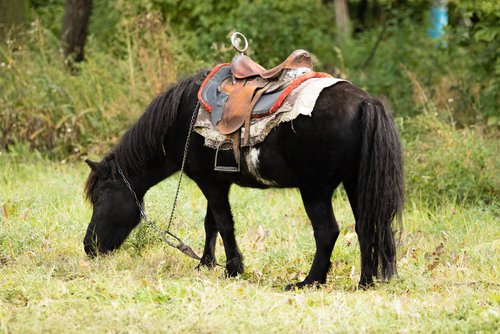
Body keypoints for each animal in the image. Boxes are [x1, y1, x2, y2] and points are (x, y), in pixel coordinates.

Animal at [82, 71, 402, 290]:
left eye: (99, 197)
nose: (88, 246)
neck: (182, 120)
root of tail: (365, 102)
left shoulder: (209, 183)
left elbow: (223, 224)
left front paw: (232, 269)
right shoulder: (215, 183)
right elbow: (211, 224)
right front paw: (206, 264)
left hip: (315, 191)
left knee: (327, 232)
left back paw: (309, 282)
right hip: (356, 184)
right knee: (367, 227)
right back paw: (365, 282)